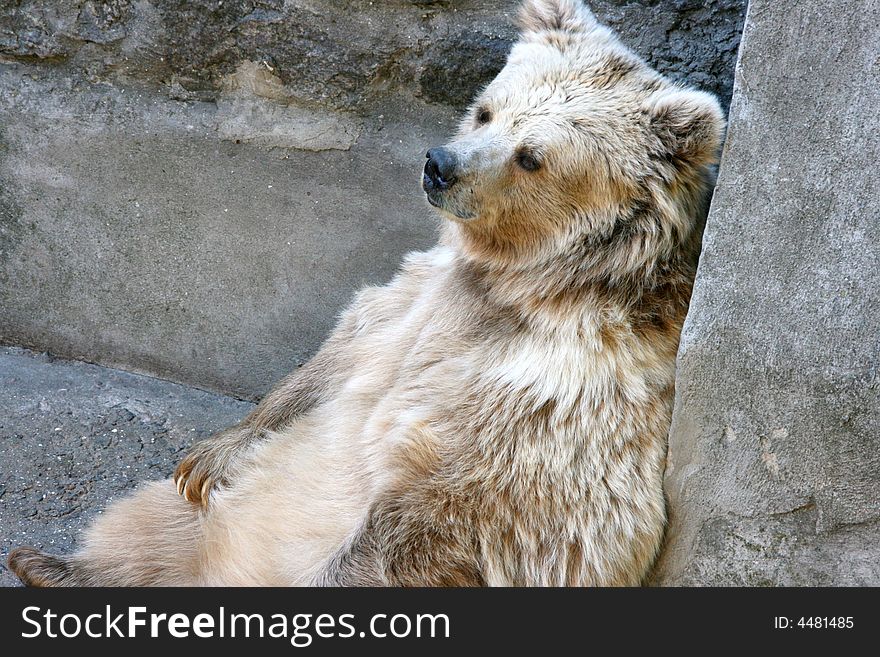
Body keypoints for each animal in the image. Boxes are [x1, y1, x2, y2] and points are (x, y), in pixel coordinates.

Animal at [6, 0, 720, 584]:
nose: (440, 165)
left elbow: (460, 511)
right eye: (487, 109)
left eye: (531, 156)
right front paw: (207, 459)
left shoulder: (551, 392)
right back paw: (53, 566)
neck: (518, 280)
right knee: (151, 520)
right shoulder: (419, 290)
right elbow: (343, 348)